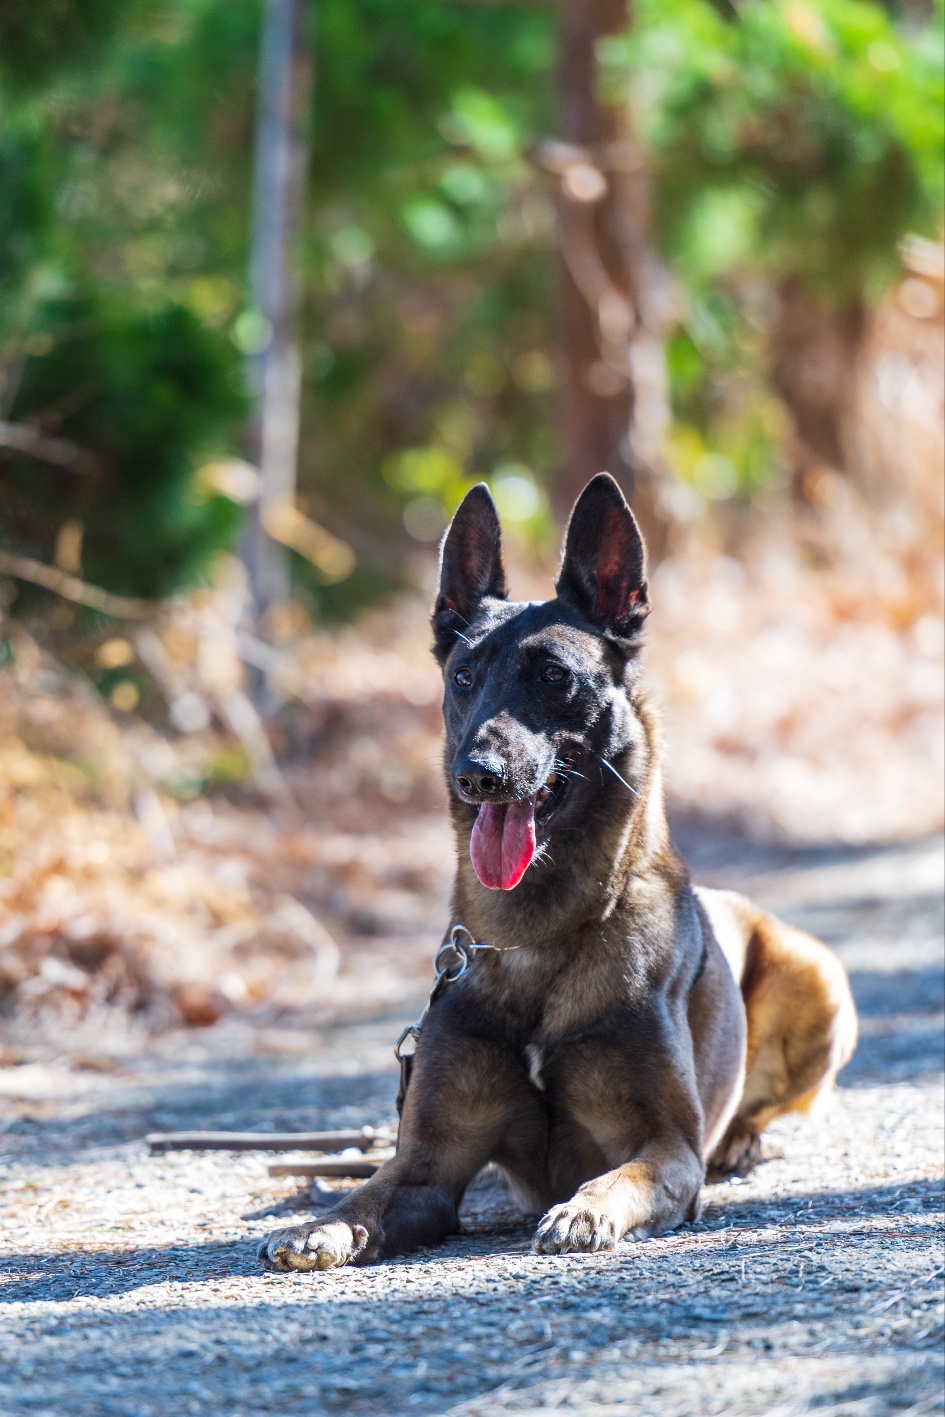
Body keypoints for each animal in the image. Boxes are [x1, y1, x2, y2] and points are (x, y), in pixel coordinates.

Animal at [256, 470, 855, 1269]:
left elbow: (623, 1175)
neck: (535, 936)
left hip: (815, 977)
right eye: (463, 676)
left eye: (551, 675)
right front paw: (317, 1225)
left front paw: (583, 1210)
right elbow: (369, 1195)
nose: (476, 774)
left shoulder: (664, 1145)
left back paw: (742, 1140)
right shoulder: (429, 1163)